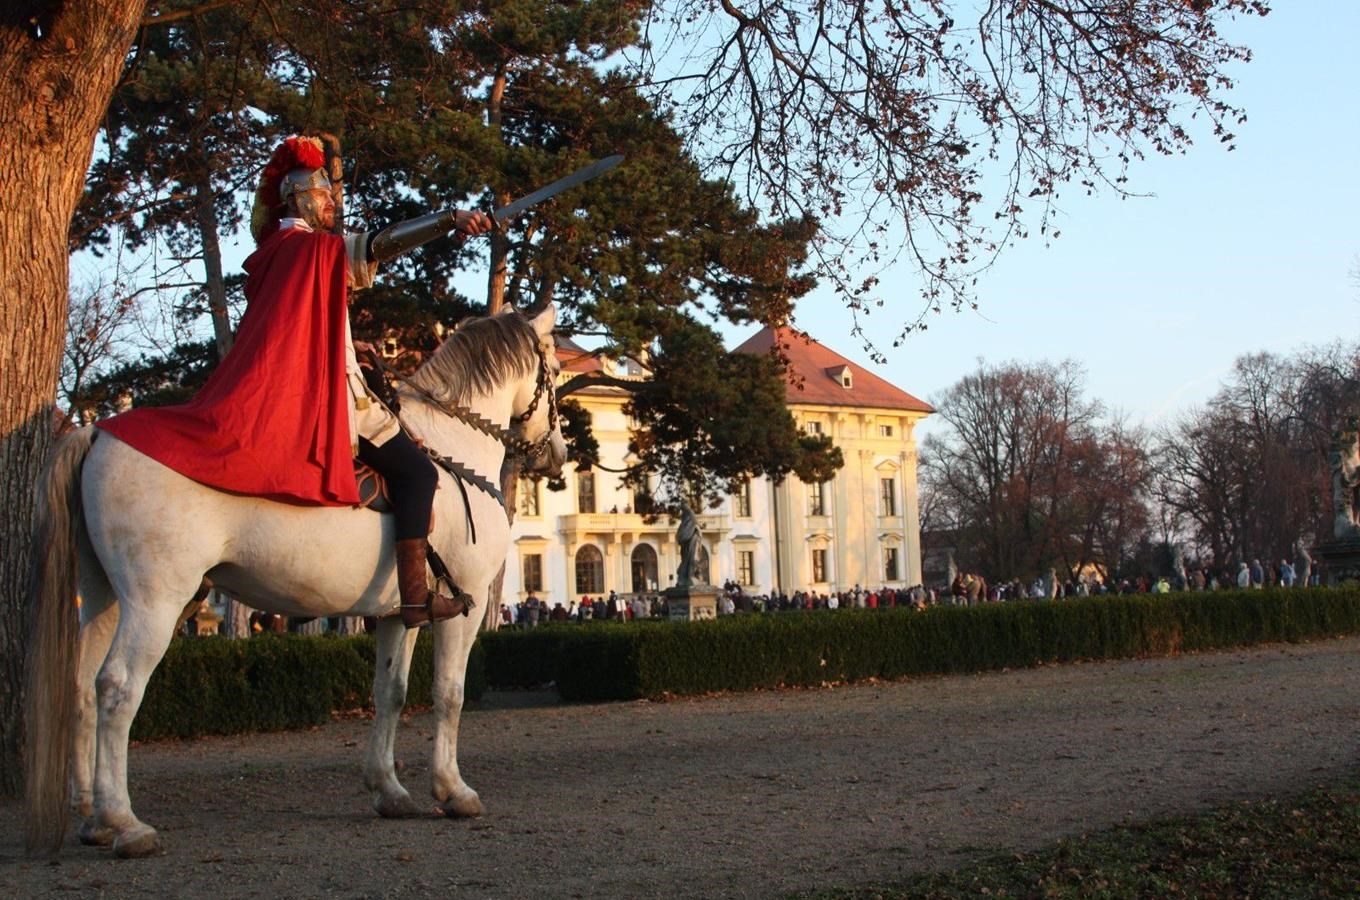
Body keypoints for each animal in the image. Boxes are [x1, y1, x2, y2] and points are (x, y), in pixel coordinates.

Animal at [26, 303, 568, 859]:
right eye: (554, 372)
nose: (558, 454)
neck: (451, 447)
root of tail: (97, 432)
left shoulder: (400, 613)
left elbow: (390, 691)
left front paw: (389, 789)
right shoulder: (466, 604)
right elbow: (449, 692)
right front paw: (452, 789)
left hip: (103, 598)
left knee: (82, 686)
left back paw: (92, 816)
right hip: (155, 603)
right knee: (117, 688)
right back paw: (124, 822)